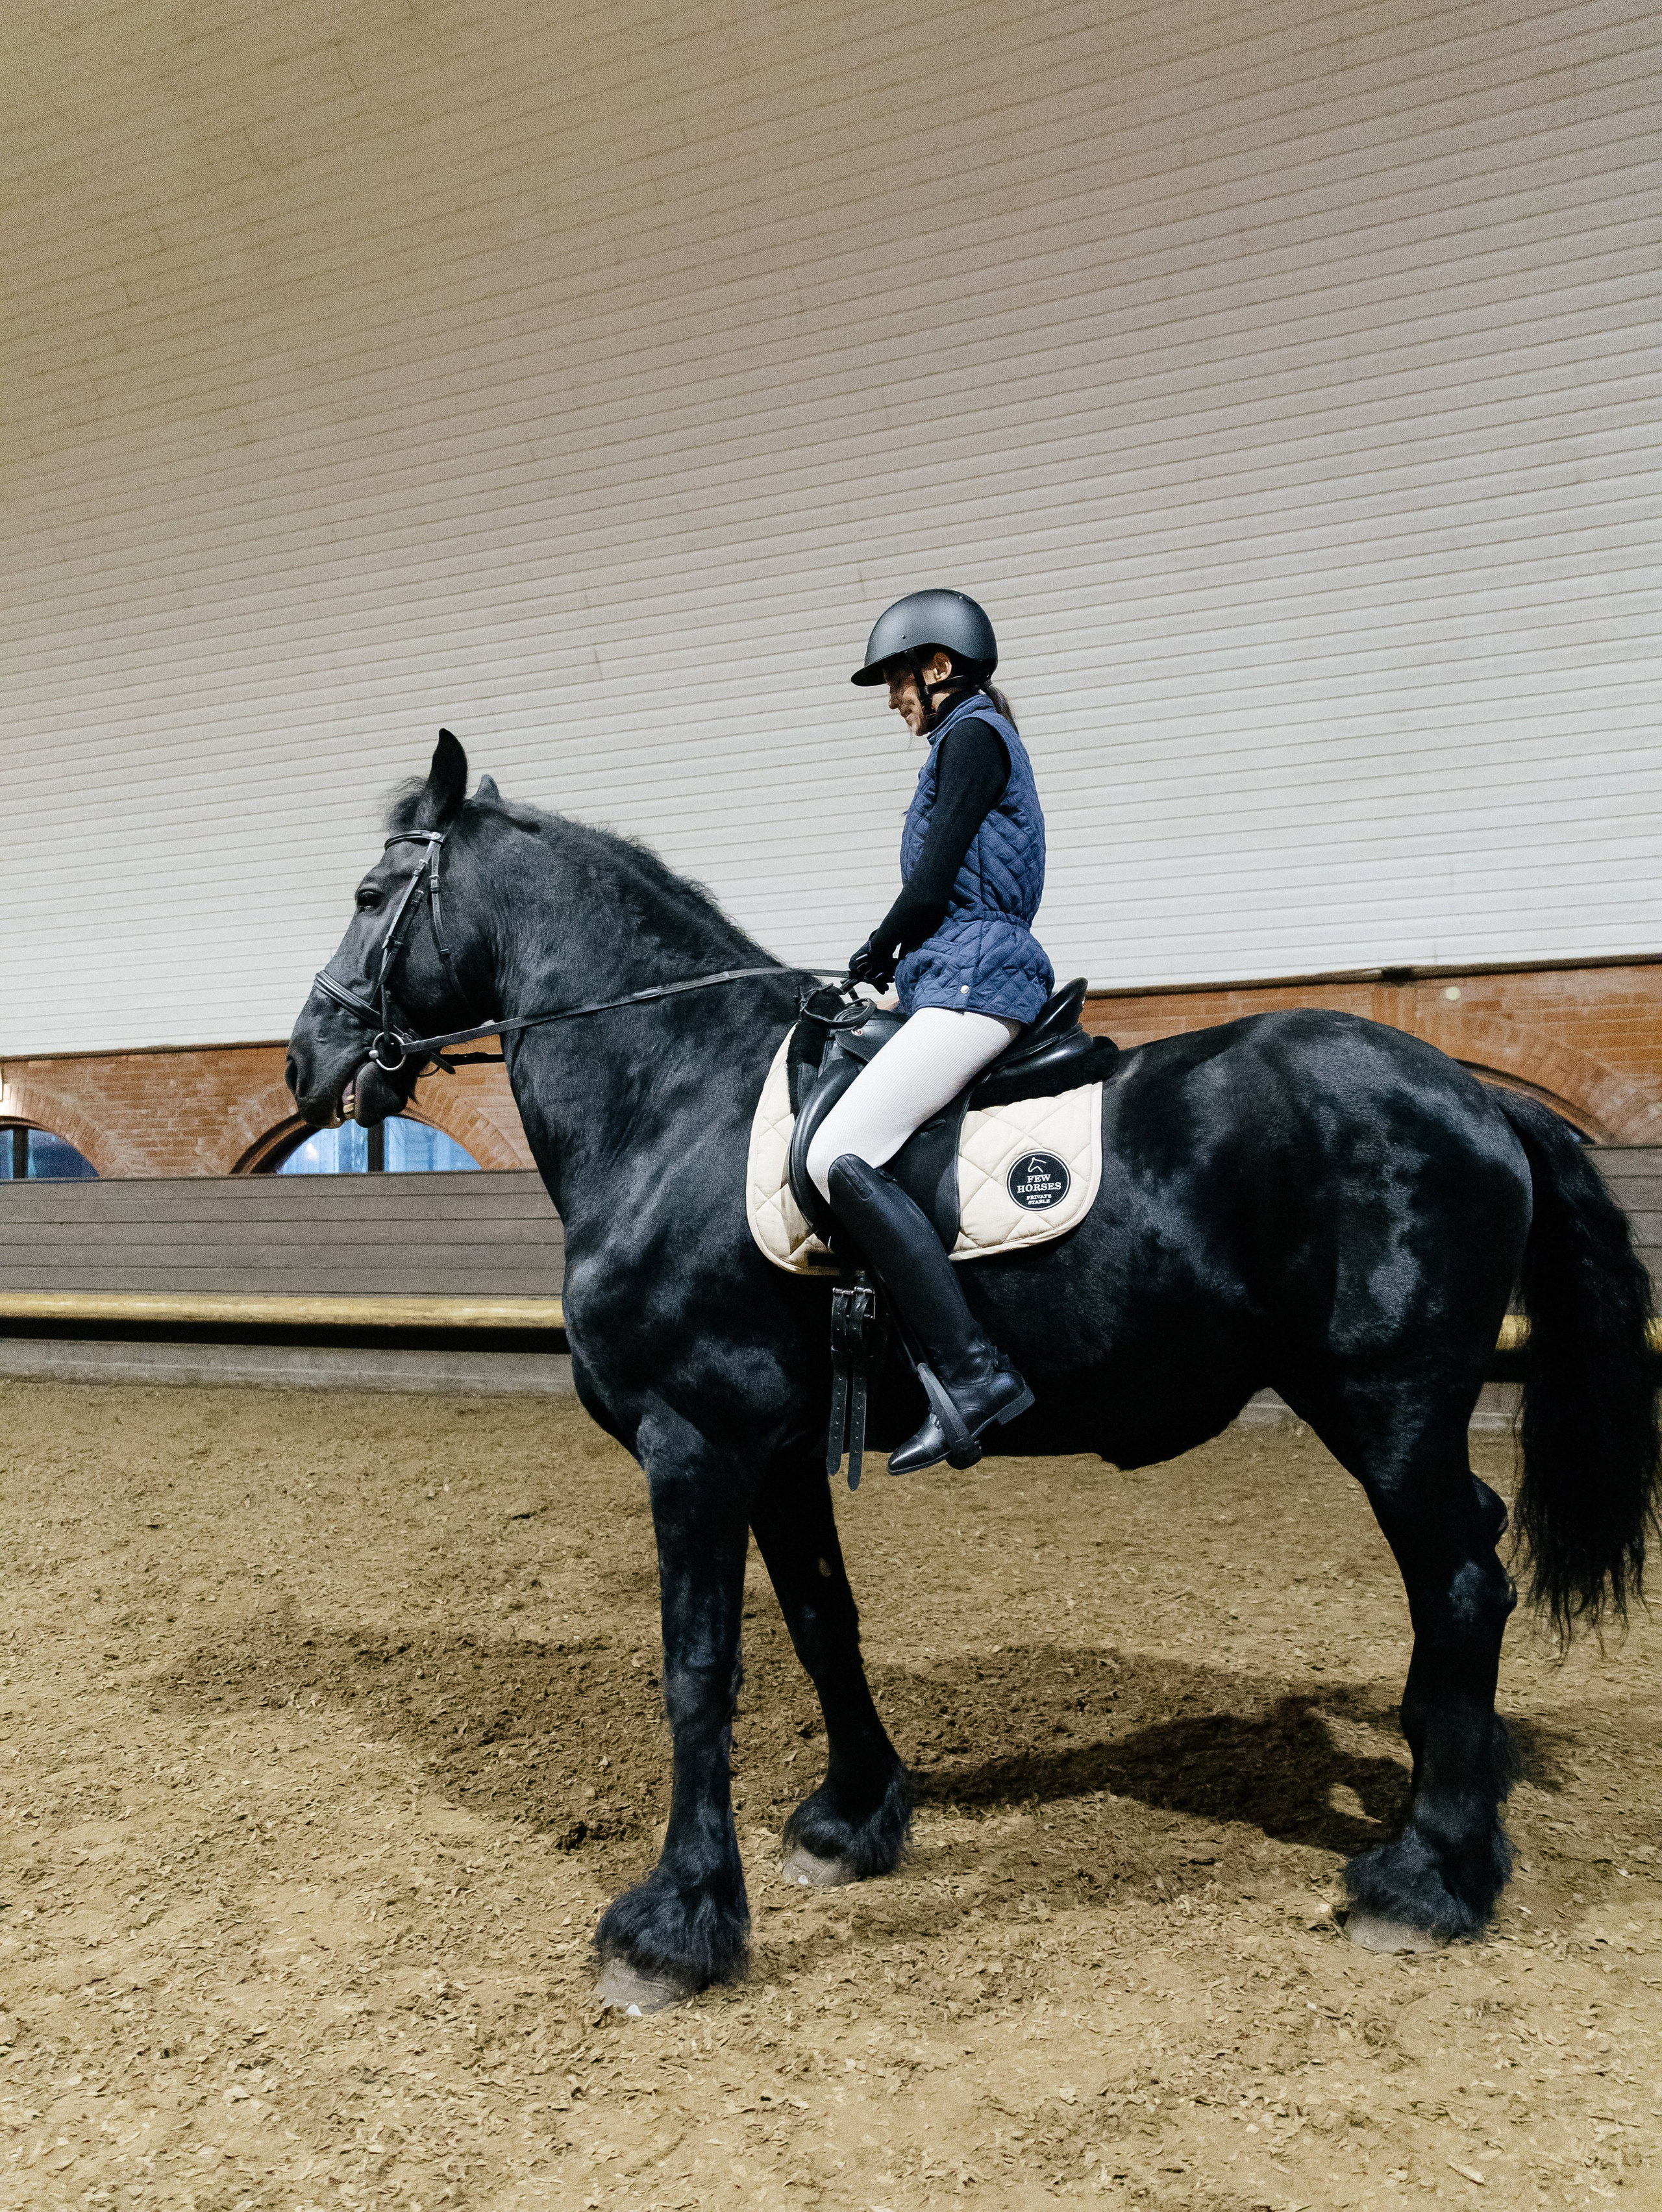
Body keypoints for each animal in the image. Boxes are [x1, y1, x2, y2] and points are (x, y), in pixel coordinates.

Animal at [286, 731, 1658, 2009]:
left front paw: (675, 1924)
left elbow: (698, 1670)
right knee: (1461, 1571)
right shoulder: (775, 1451)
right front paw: (852, 1820)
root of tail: (1474, 1096)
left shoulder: (696, 1440)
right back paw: (1446, 1817)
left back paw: (1428, 1879)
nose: (307, 1060)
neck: (673, 1095)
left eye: (369, 892)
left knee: (1463, 1582)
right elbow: (822, 1620)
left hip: (1386, 1405)